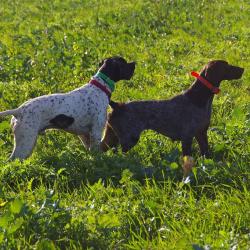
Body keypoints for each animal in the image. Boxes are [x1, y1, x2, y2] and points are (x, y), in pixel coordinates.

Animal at [0, 56, 136, 160]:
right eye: (123, 62)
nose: (134, 63)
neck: (99, 87)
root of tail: (19, 111)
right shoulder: (96, 132)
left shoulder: (85, 135)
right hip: (26, 142)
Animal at [100, 59, 243, 175]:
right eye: (227, 66)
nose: (243, 69)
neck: (198, 98)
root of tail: (117, 106)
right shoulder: (187, 138)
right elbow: (187, 160)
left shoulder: (202, 134)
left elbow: (206, 155)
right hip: (128, 139)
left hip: (111, 136)